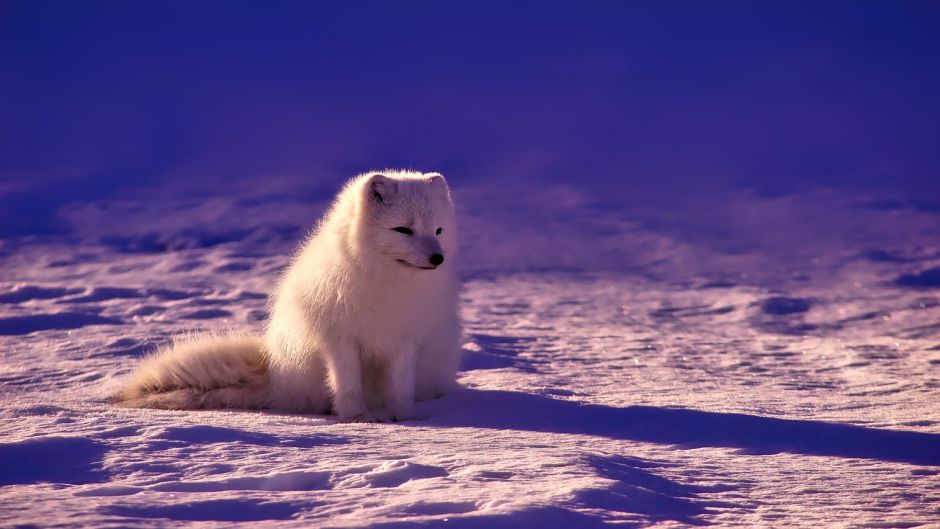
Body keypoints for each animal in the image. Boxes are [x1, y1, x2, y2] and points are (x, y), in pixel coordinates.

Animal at [117, 169, 462, 420]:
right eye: (403, 230)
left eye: (438, 231)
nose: (438, 259)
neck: (387, 284)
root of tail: (274, 374)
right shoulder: (339, 339)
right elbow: (348, 384)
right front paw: (357, 418)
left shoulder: (406, 338)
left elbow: (401, 386)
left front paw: (405, 419)